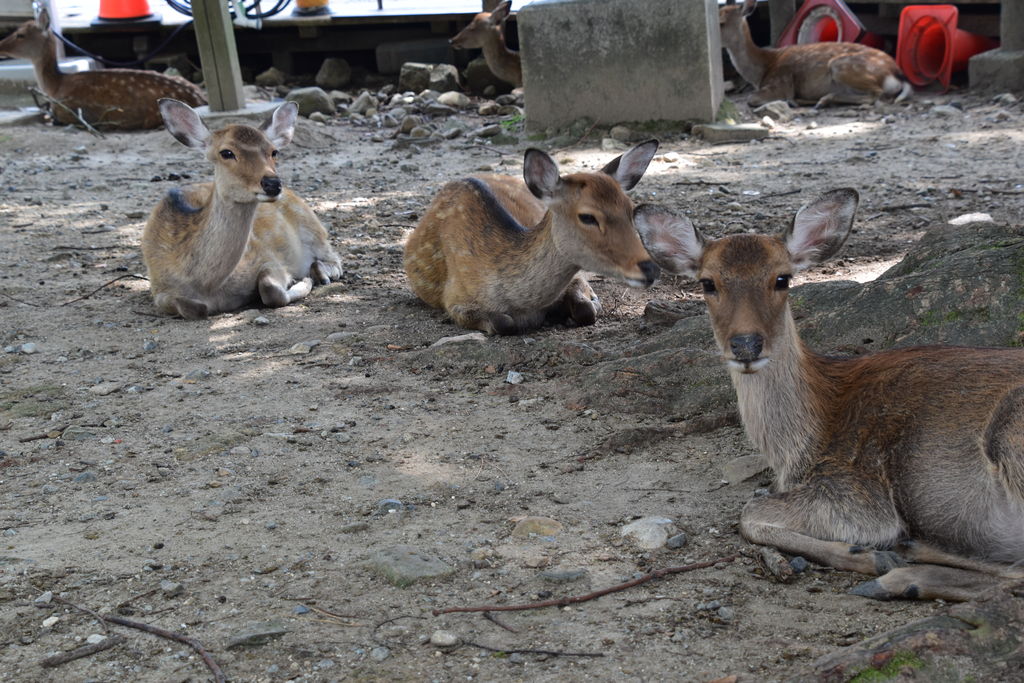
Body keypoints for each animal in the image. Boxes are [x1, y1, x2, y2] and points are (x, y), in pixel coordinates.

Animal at [141, 98, 344, 321]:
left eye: (274, 151)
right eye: (226, 152)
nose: (272, 183)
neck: (207, 285)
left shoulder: (267, 258)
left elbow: (270, 290)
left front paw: (302, 281)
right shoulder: (160, 291)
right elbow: (194, 308)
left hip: (313, 227)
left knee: (335, 259)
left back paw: (320, 273)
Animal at [403, 139, 659, 335]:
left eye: (631, 208)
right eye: (587, 216)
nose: (650, 268)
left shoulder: (578, 277)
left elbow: (587, 310)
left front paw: (583, 306)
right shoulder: (454, 299)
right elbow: (503, 323)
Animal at [630, 189, 1024, 602]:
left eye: (782, 278)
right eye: (708, 283)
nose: (746, 344)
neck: (799, 447)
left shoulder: (855, 494)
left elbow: (749, 515)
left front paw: (867, 553)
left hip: (1010, 432)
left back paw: (897, 573)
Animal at [720, 0, 913, 108]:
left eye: (721, 22)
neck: (762, 70)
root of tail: (896, 73)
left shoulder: (780, 83)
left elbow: (751, 98)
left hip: (841, 66)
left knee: (876, 94)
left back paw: (821, 100)